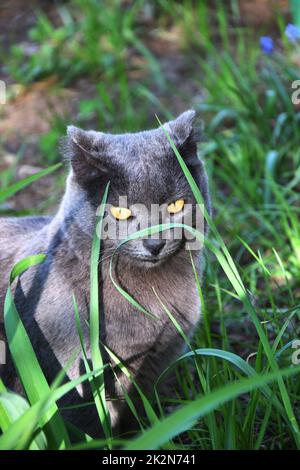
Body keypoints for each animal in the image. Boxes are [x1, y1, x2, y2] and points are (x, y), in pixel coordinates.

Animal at [0, 110, 211, 436]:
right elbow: (89, 428)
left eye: (175, 205)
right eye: (120, 212)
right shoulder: (73, 378)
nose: (154, 243)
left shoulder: (156, 362)